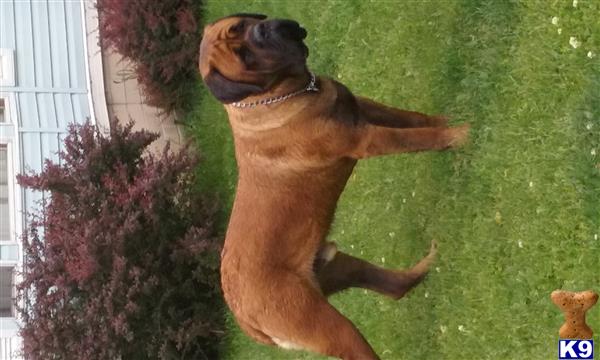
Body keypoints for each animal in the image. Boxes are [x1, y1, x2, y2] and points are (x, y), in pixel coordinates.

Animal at [197, 12, 468, 358]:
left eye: (242, 26)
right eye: (244, 57)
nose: (266, 29)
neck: (280, 94)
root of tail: (245, 320)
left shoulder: (363, 109)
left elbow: (415, 120)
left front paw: (450, 120)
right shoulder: (366, 138)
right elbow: (417, 137)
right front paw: (462, 134)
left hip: (338, 267)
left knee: (395, 286)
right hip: (329, 325)